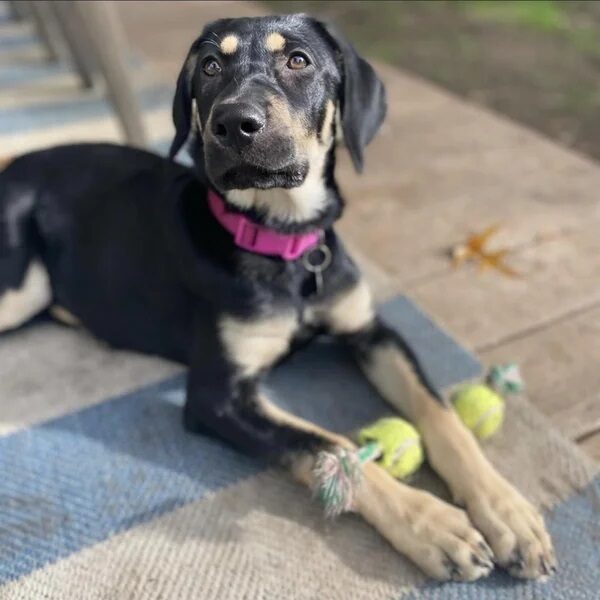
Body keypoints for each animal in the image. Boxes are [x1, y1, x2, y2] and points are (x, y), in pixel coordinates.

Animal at [0, 14, 556, 580]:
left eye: (298, 60)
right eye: (209, 66)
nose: (233, 123)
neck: (283, 242)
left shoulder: (371, 331)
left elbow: (440, 412)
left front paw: (507, 511)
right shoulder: (217, 396)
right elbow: (327, 445)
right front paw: (431, 524)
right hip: (21, 285)